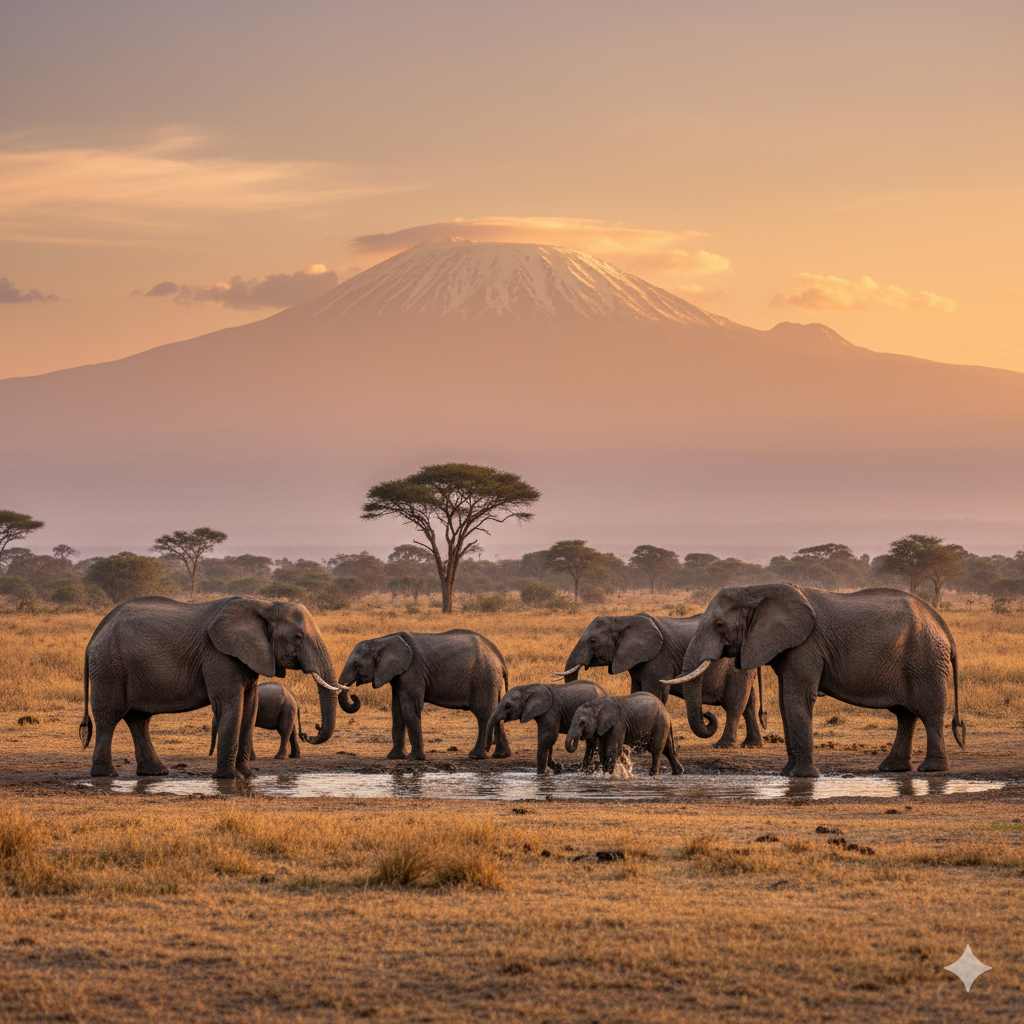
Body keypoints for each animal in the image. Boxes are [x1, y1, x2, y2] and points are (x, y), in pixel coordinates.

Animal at [80, 596, 340, 779]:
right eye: (298, 638)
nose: (314, 730)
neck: (264, 604)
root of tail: (94, 635)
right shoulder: (219, 655)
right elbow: (230, 706)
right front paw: (229, 778)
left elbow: (249, 709)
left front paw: (248, 776)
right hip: (109, 666)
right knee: (109, 717)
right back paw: (105, 774)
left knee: (139, 719)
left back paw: (156, 772)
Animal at [338, 629, 511, 760]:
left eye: (356, 664)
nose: (353, 696)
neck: (381, 640)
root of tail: (499, 657)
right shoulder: (397, 674)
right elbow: (397, 711)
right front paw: (394, 757)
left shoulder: (412, 671)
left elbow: (409, 708)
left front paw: (414, 759)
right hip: (491, 679)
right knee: (496, 712)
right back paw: (501, 755)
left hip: (484, 678)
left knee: (483, 714)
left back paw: (475, 756)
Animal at [559, 613, 765, 748]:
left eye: (593, 641)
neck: (624, 619)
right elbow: (637, 692)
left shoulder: (659, 658)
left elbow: (654, 691)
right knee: (749, 703)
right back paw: (751, 745)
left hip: (735, 668)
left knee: (734, 704)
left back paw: (723, 745)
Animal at [666, 584, 966, 778]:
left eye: (719, 625)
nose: (708, 717)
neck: (757, 590)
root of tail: (945, 628)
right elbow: (785, 702)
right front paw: (787, 773)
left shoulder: (806, 645)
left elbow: (796, 699)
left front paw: (801, 777)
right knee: (905, 714)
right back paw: (891, 768)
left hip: (926, 660)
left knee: (929, 711)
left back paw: (931, 769)